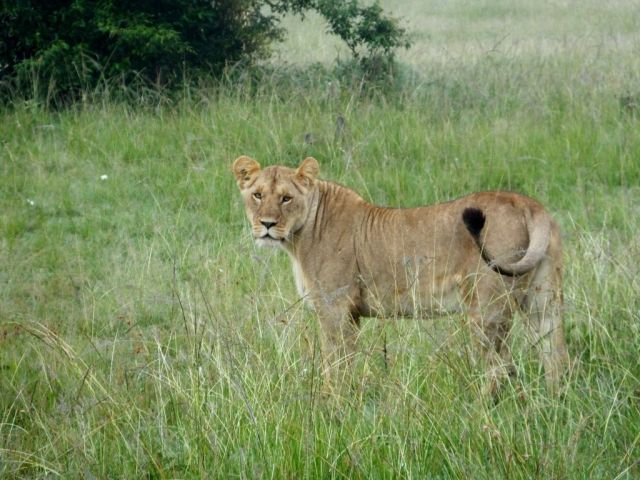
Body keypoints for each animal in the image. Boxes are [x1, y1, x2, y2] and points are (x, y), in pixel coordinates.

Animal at [232, 155, 569, 394]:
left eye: (286, 198)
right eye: (258, 195)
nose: (267, 224)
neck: (299, 237)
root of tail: (529, 204)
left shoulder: (334, 307)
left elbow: (334, 363)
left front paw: (332, 406)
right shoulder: (351, 314)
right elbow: (348, 361)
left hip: (487, 308)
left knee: (499, 367)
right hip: (543, 300)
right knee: (555, 358)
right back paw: (553, 405)